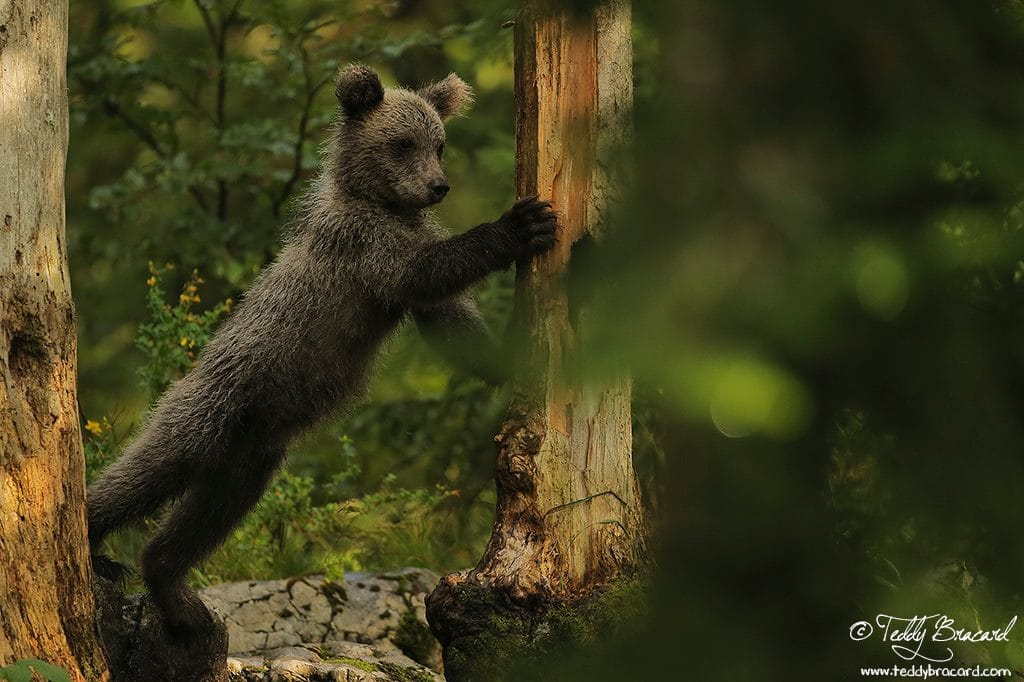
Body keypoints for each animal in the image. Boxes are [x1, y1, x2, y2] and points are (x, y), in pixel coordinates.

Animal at [86, 64, 558, 637]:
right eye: (403, 143)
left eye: (439, 143)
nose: (438, 186)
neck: (381, 205)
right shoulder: (364, 249)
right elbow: (427, 269)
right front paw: (521, 224)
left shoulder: (401, 280)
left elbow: (455, 328)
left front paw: (515, 348)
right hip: (213, 404)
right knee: (151, 467)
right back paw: (92, 539)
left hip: (254, 452)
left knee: (213, 509)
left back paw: (174, 592)